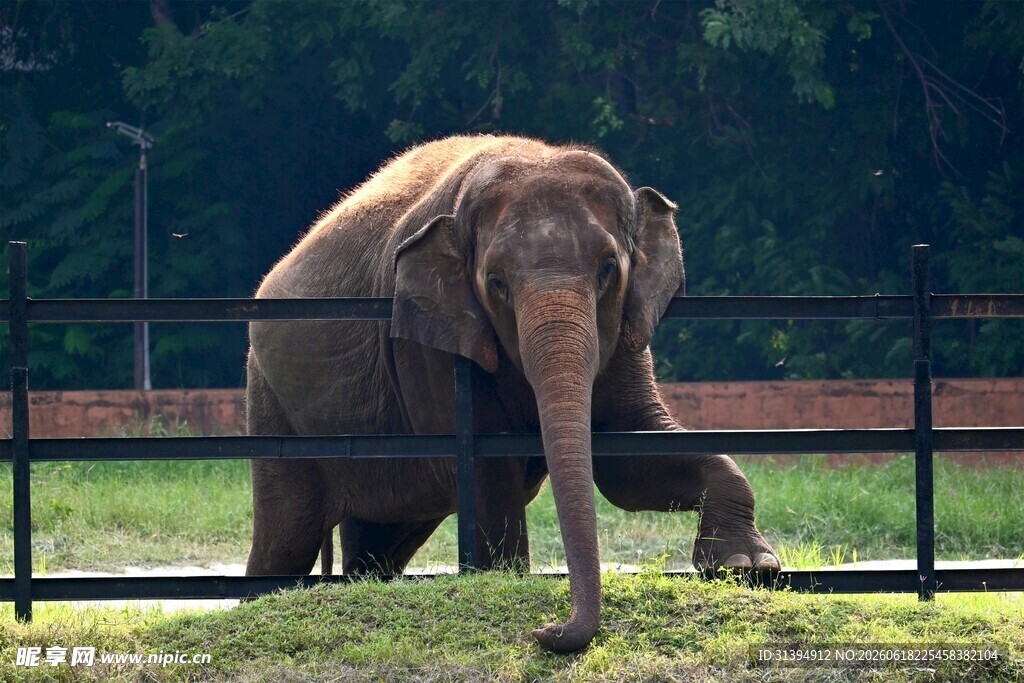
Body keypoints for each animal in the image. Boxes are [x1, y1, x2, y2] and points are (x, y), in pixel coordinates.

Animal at [245, 134, 779, 653]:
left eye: (609, 269)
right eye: (496, 282)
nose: (546, 630)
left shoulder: (626, 334)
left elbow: (628, 461)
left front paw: (747, 566)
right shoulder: (432, 350)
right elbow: (490, 474)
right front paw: (508, 580)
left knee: (378, 538)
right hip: (270, 405)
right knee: (286, 535)